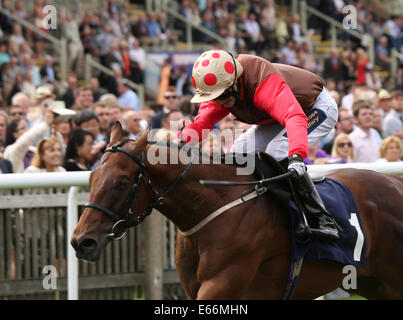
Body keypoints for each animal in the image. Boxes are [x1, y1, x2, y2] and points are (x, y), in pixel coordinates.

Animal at [71, 123, 403, 300]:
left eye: (121, 182)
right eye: (92, 177)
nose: (80, 241)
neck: (214, 205)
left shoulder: (222, 285)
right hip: (375, 284)